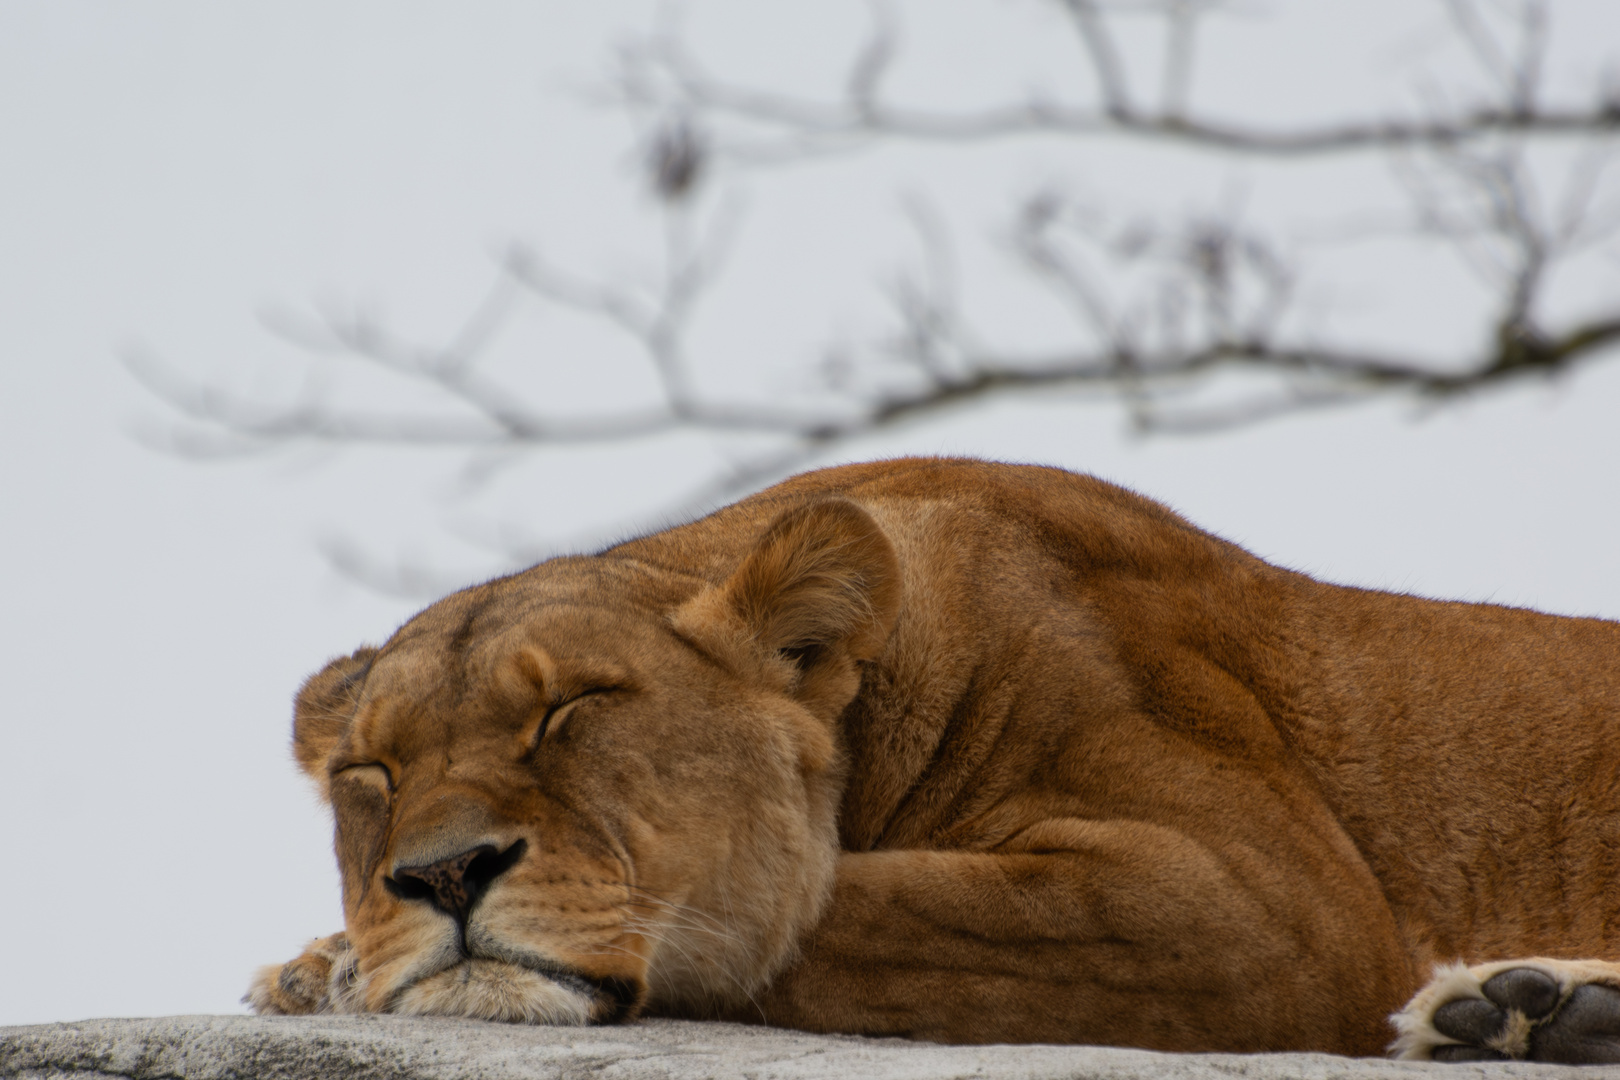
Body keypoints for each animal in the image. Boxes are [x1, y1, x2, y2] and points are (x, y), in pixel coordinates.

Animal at [246, 459, 1620, 1062]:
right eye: (371, 776)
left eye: (573, 708)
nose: (440, 877)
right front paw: (321, 966)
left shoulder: (1270, 906)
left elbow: (837, 911)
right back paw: (1533, 1012)